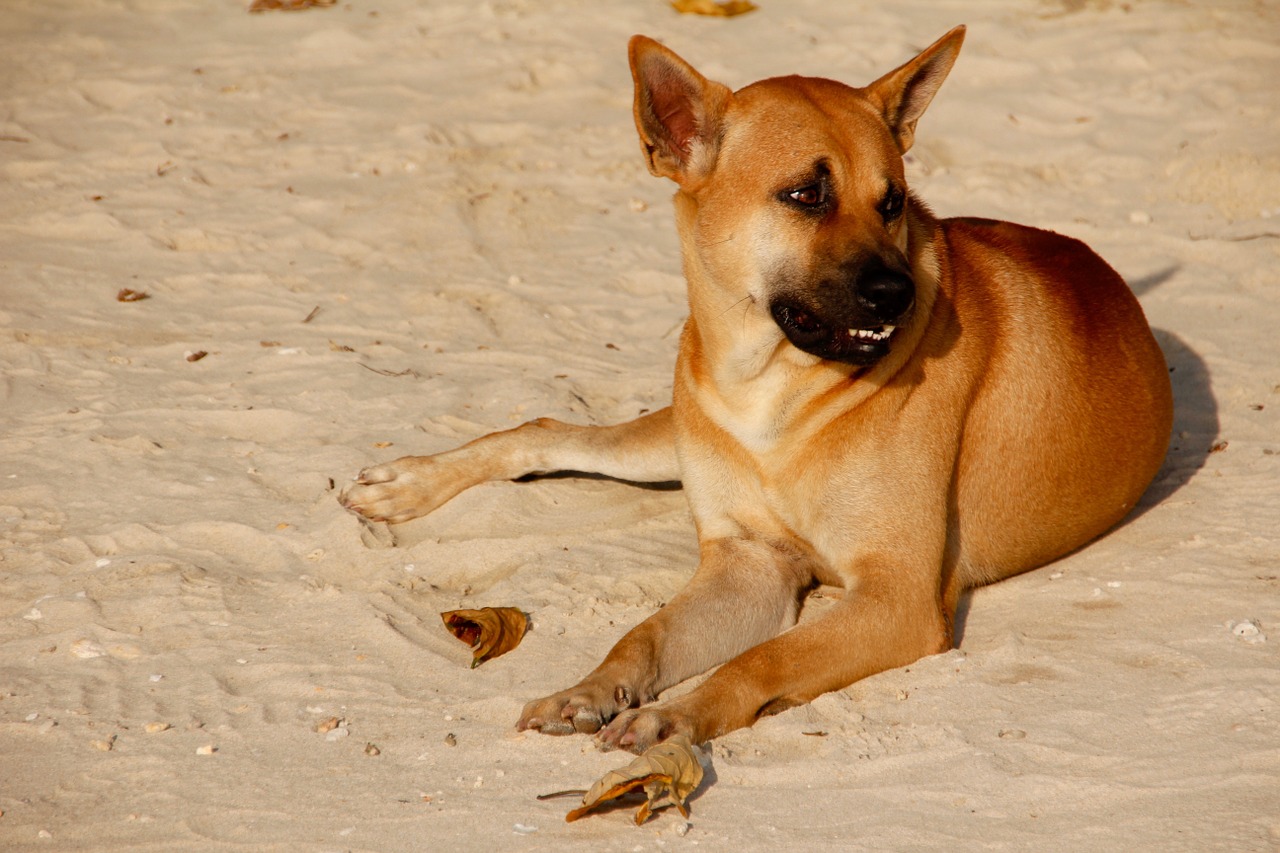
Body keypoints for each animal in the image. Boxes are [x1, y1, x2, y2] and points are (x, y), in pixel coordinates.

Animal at [337, 26, 1172, 753]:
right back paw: (407, 483)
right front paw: (592, 686)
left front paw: (680, 713)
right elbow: (644, 632)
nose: (898, 294)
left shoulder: (894, 596)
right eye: (805, 195)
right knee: (549, 431)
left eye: (893, 200)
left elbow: (763, 658)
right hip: (665, 437)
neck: (772, 386)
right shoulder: (749, 562)